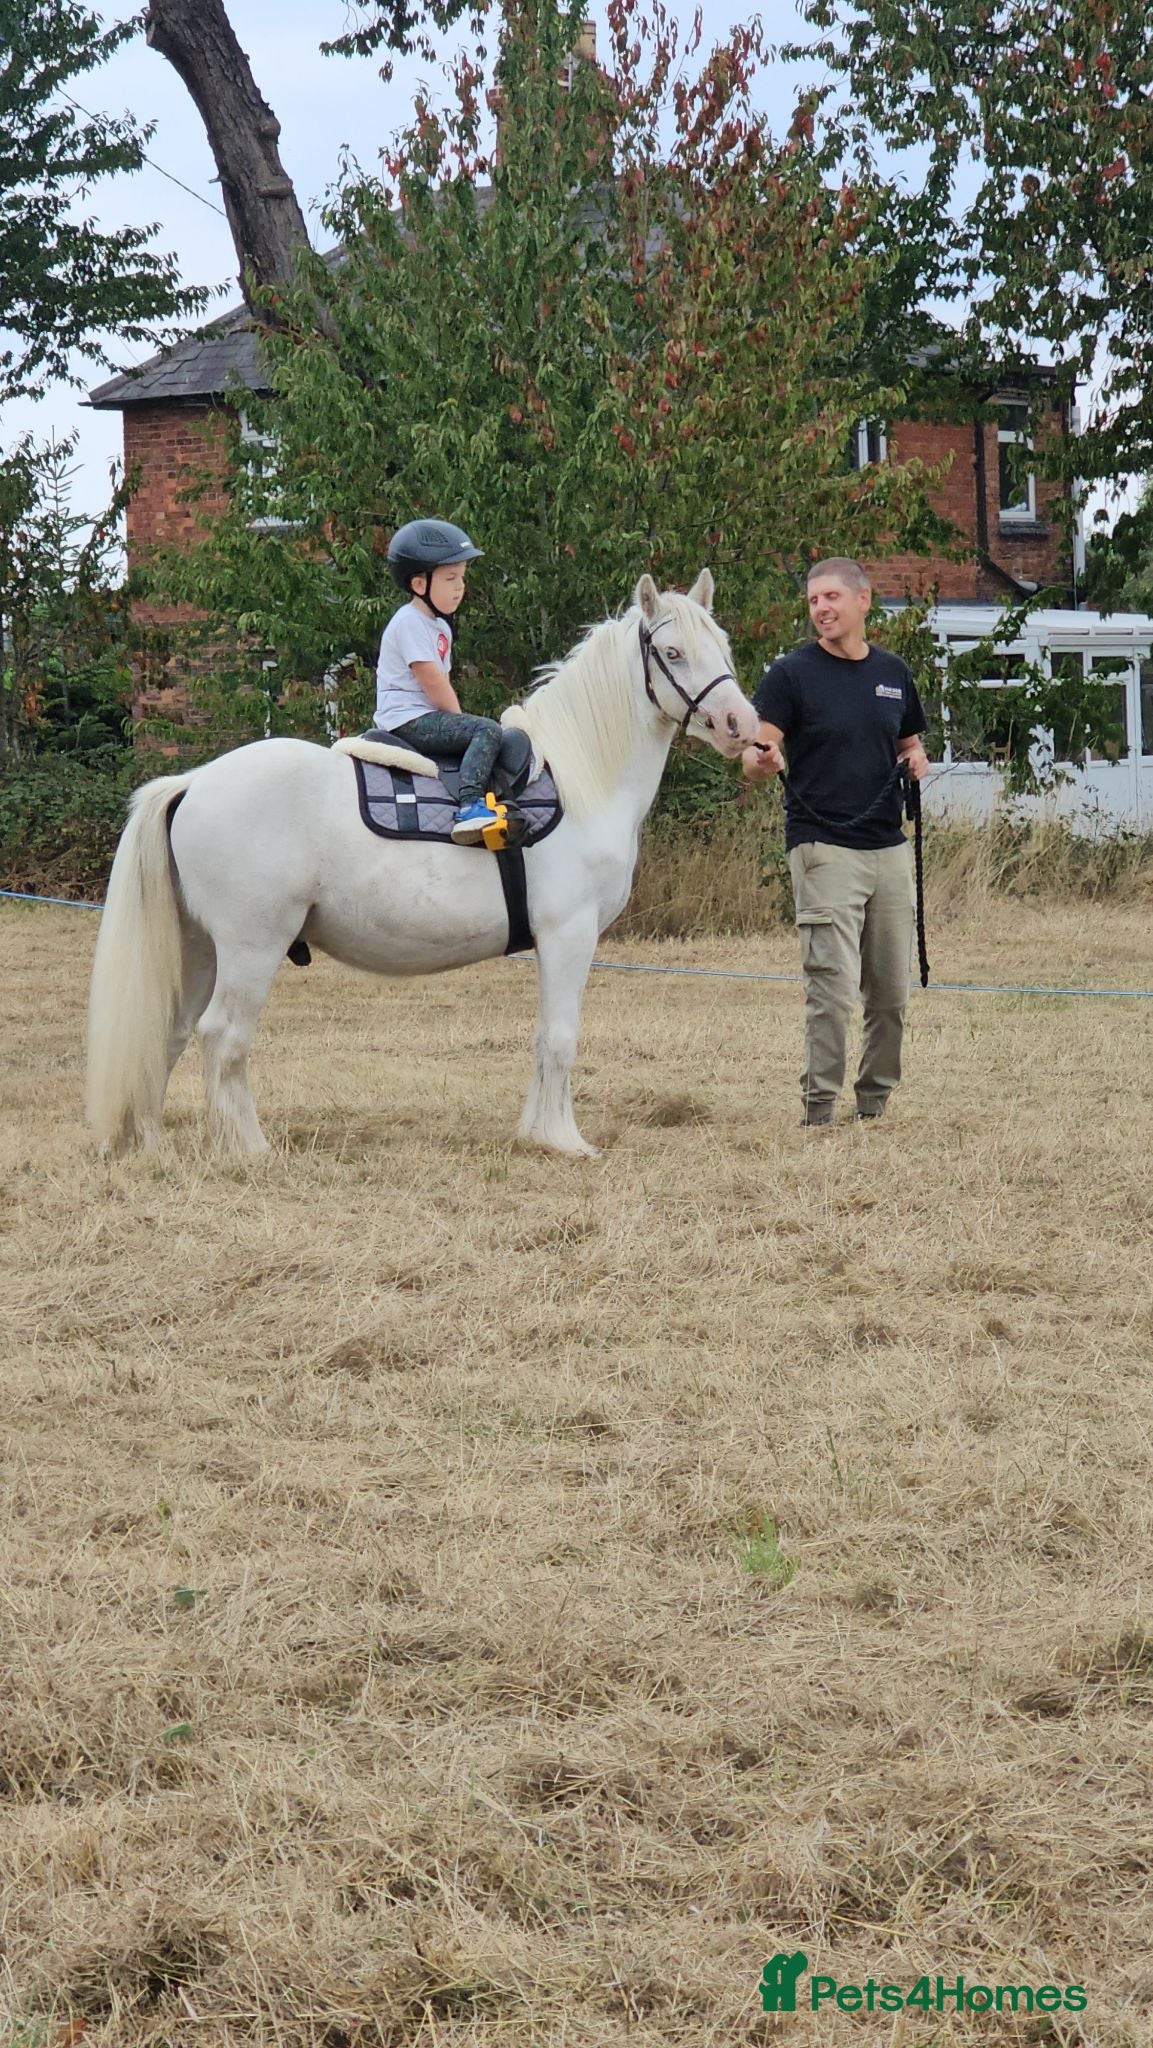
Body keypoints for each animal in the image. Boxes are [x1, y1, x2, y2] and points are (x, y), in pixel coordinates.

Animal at [86, 570, 758, 1160]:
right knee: (223, 1036)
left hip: (201, 946)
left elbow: (543, 1037)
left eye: (720, 645)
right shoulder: (569, 934)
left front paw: (536, 1133)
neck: (576, 781)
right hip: (252, 947)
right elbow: (561, 1038)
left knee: (170, 1033)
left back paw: (152, 1144)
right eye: (671, 652)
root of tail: (193, 783)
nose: (741, 724)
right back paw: (249, 1149)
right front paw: (563, 1141)